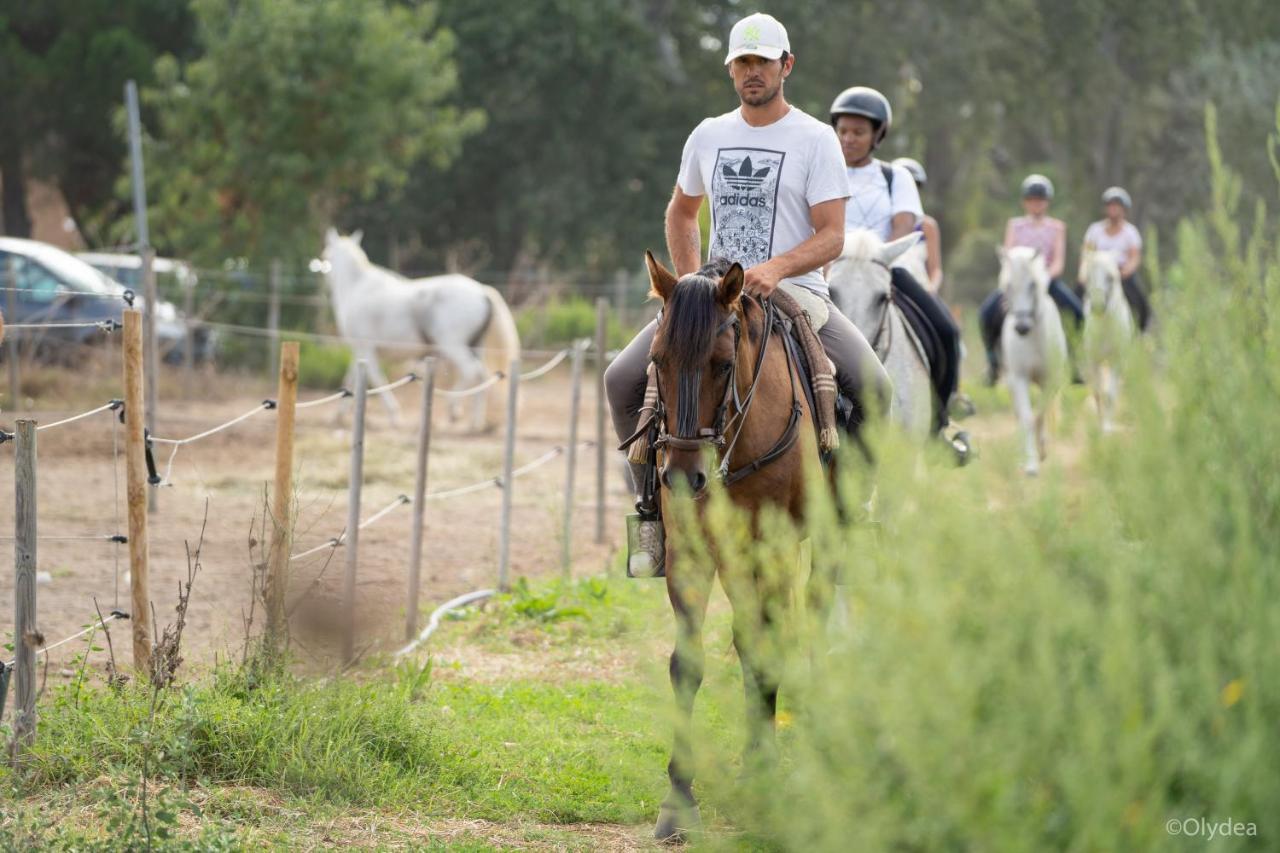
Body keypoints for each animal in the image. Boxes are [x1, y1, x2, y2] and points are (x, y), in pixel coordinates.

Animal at [322, 225, 517, 427]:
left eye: (326, 256)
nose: (326, 286)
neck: (356, 288)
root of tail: (482, 291)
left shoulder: (366, 348)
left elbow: (375, 378)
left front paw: (394, 415)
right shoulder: (359, 349)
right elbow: (351, 378)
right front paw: (339, 414)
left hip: (452, 345)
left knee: (472, 370)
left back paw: (454, 408)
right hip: (476, 345)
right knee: (482, 375)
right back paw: (475, 422)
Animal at [640, 251, 829, 835]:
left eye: (723, 364)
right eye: (658, 360)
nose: (683, 477)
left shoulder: (775, 549)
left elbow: (768, 654)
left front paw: (763, 773)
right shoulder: (692, 553)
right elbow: (688, 665)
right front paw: (678, 800)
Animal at [998, 245, 1070, 473]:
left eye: (1032, 285)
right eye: (1008, 286)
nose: (1021, 328)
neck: (1034, 339)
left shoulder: (1051, 380)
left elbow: (1041, 413)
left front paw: (1043, 450)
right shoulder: (1019, 378)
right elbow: (1028, 418)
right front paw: (1030, 465)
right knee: (1019, 415)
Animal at [1080, 245, 1131, 432]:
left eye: (1111, 277)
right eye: (1088, 277)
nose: (1097, 306)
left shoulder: (1117, 360)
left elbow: (1110, 394)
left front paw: (1108, 428)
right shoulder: (1093, 360)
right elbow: (1098, 392)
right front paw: (1101, 425)